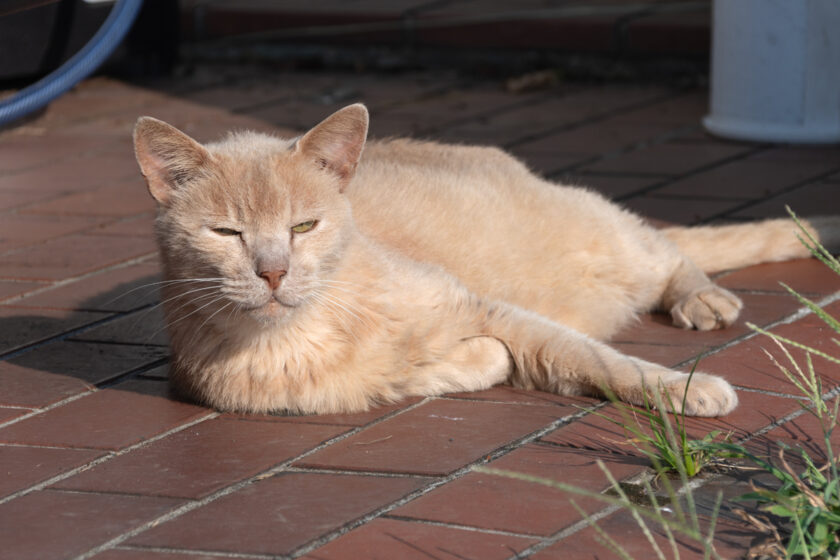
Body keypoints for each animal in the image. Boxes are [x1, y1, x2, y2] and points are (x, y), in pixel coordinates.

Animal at [135, 105, 836, 418]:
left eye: (304, 226)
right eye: (227, 232)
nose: (273, 272)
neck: (305, 331)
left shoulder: (490, 309)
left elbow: (603, 360)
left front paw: (687, 388)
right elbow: (459, 368)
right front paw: (481, 362)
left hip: (604, 236)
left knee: (669, 250)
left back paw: (701, 295)